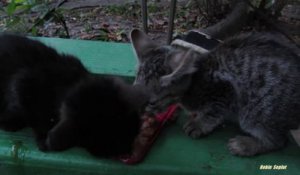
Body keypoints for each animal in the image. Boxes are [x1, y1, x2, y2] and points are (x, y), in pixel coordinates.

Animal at [131, 28, 300, 156]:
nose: (139, 113)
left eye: (151, 103)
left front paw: (199, 124)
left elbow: (213, 113)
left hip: (257, 112)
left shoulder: (225, 91)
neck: (195, 80)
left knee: (278, 140)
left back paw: (246, 145)